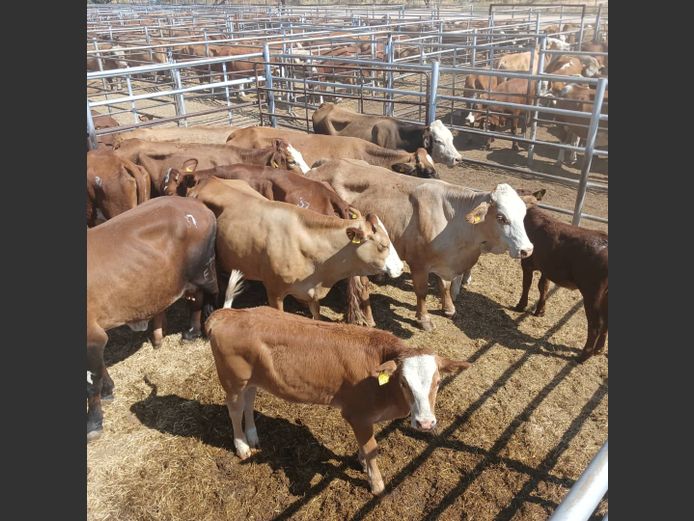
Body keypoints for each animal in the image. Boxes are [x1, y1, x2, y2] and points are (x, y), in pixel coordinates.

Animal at [87, 197, 219, 440]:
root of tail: (199, 206)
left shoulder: (91, 336)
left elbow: (91, 381)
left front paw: (93, 422)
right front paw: (109, 390)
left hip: (203, 272)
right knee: (195, 299)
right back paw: (191, 333)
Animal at [177, 175, 403, 319]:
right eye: (383, 244)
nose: (401, 268)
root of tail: (208, 180)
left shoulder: (312, 292)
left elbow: (316, 316)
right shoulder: (274, 292)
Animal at [205, 295, 471, 495]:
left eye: (438, 382)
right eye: (404, 382)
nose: (425, 423)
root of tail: (228, 314)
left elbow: (365, 447)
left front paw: (362, 462)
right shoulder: (357, 415)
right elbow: (372, 448)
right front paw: (376, 485)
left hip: (252, 379)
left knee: (248, 402)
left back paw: (252, 436)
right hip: (233, 380)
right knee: (234, 409)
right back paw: (242, 446)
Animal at [307, 159, 539, 331]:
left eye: (523, 214)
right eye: (501, 217)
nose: (527, 250)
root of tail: (319, 166)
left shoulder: (443, 262)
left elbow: (444, 285)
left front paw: (448, 307)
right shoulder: (418, 263)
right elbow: (422, 292)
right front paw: (424, 319)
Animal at [514, 203, 608, 363]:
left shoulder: (527, 263)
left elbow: (526, 284)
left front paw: (521, 305)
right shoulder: (546, 268)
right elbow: (543, 287)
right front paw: (540, 311)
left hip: (592, 292)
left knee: (596, 324)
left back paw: (584, 355)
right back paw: (599, 350)